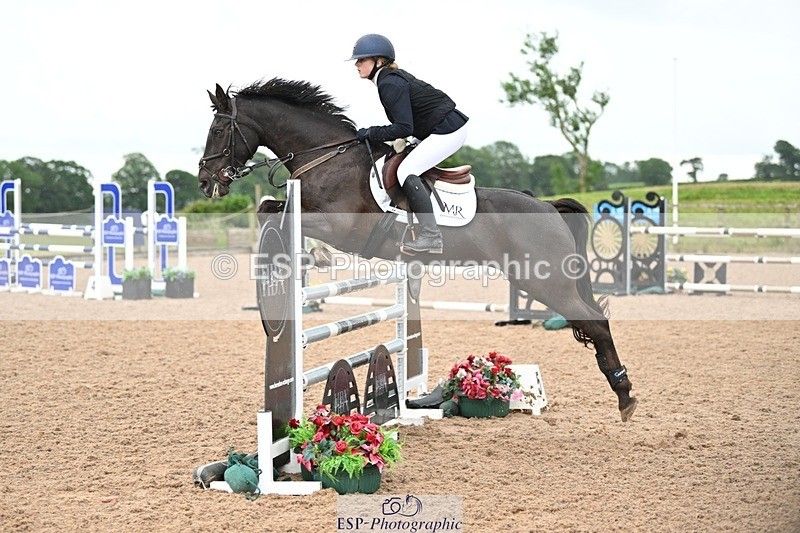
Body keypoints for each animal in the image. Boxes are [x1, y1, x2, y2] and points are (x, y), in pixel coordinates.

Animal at [197, 79, 637, 422]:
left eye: (218, 131)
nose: (205, 181)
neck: (327, 157)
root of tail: (547, 206)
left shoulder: (342, 227)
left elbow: (280, 213)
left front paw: (314, 255)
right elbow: (269, 208)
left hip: (545, 281)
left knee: (597, 323)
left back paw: (625, 394)